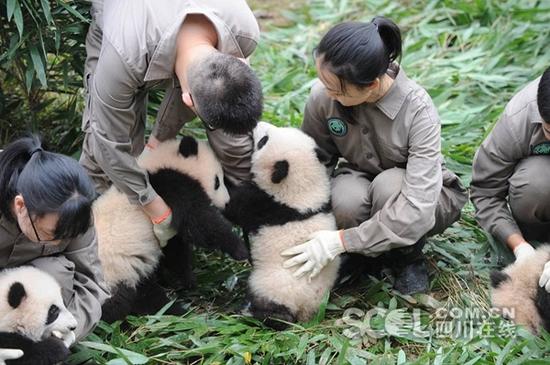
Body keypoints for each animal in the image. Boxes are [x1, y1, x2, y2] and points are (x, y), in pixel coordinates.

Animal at [95, 136, 248, 322]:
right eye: (217, 181)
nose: (226, 202)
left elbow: (175, 249)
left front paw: (185, 280)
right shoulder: (171, 185)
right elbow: (199, 222)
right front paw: (240, 249)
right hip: (118, 272)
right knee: (138, 299)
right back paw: (177, 312)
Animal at [225, 121, 340, 328]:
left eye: (263, 141)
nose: (257, 124)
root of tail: (303, 311)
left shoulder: (263, 204)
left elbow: (231, 205)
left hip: (273, 285)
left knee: (274, 309)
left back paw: (254, 313)